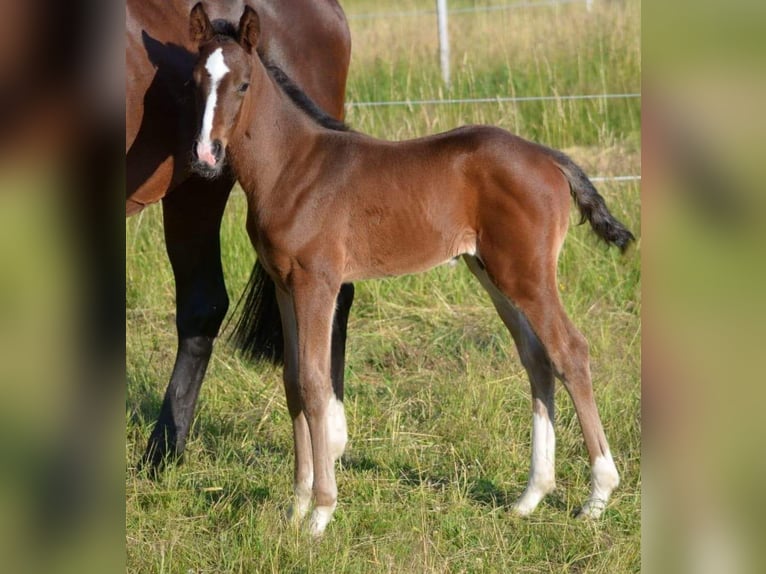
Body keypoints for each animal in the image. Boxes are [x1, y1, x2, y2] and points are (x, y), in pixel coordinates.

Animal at [188, 4, 636, 536]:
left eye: (243, 84)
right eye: (196, 81)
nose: (206, 157)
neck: (292, 167)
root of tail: (548, 156)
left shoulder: (318, 282)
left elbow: (316, 384)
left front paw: (320, 513)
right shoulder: (283, 284)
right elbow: (293, 382)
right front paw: (295, 507)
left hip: (526, 274)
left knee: (570, 352)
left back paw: (598, 495)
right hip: (491, 271)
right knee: (537, 358)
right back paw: (531, 496)